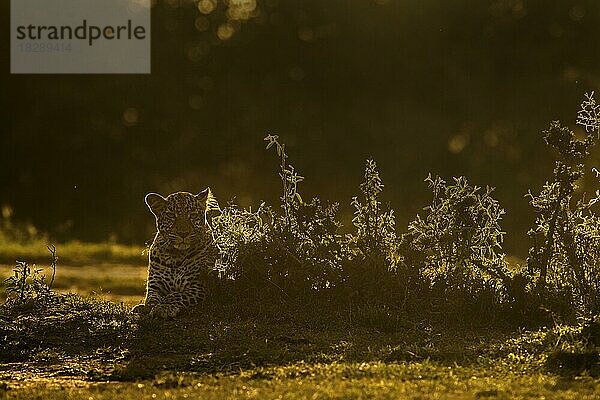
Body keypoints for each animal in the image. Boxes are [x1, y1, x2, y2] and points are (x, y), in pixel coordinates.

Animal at [131, 188, 220, 318]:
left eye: (193, 215)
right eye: (171, 215)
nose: (183, 233)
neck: (175, 256)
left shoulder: (200, 285)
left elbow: (175, 295)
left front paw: (163, 307)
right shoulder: (155, 286)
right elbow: (151, 299)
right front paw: (146, 307)